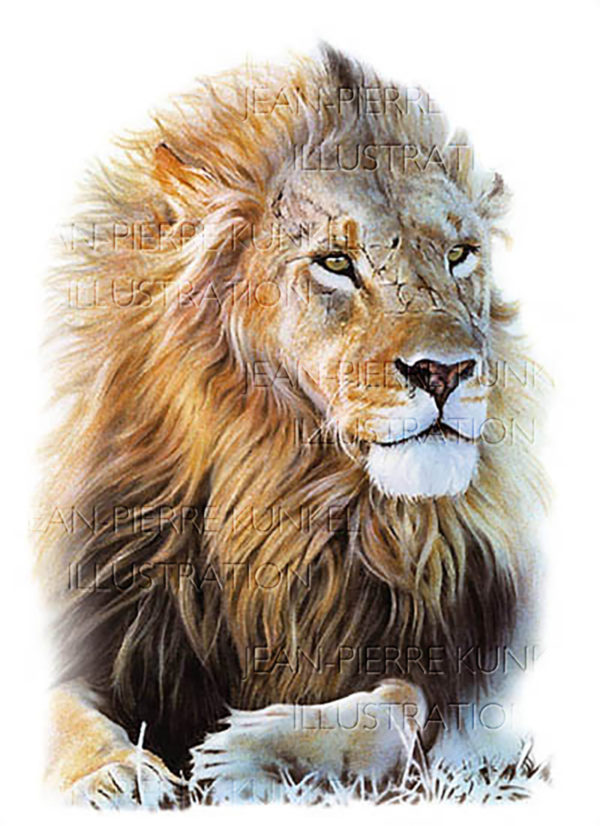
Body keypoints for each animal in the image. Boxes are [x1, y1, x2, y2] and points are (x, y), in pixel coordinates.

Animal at [38, 46, 546, 807]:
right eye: (335, 263)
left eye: (460, 255)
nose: (447, 371)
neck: (287, 506)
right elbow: (58, 704)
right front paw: (113, 774)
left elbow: (401, 701)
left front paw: (241, 753)